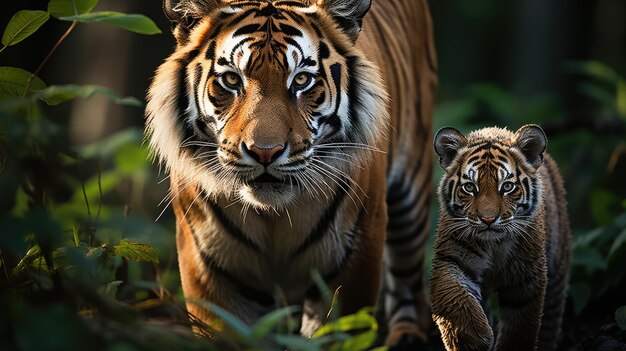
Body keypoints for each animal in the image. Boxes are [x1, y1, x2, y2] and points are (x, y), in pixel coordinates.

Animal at [144, 0, 436, 346]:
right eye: (232, 80)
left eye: (301, 81)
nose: (264, 152)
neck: (274, 215)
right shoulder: (208, 264)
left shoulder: (355, 255)